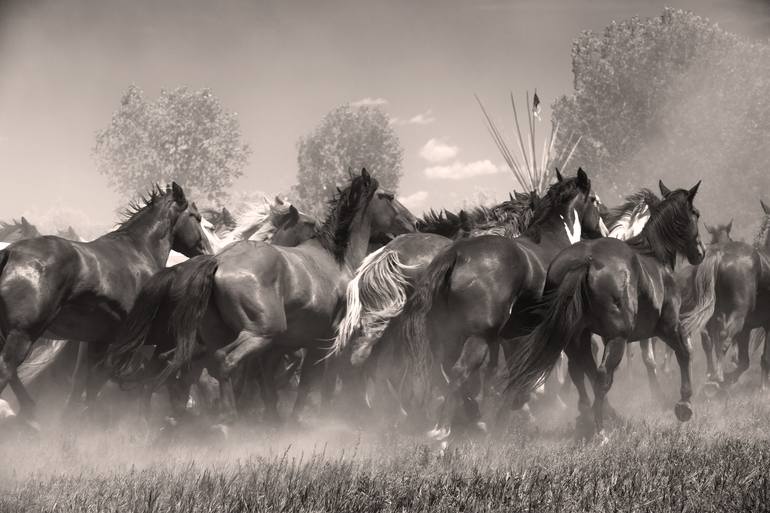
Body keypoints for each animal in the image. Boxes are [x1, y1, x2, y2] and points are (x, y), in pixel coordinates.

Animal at [0, 182, 210, 422]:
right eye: (197, 217)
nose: (206, 250)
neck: (138, 252)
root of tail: (9, 252)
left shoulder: (97, 338)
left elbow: (88, 379)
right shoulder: (130, 339)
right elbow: (104, 377)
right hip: (23, 333)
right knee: (7, 369)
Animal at [106, 168, 414, 424]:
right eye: (388, 196)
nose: (413, 223)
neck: (335, 259)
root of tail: (216, 261)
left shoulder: (279, 349)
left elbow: (270, 385)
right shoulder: (321, 342)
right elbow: (313, 382)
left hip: (221, 337)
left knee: (190, 369)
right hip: (261, 332)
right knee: (221, 362)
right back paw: (224, 419)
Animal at [504, 178, 704, 438]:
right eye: (695, 214)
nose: (701, 252)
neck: (653, 255)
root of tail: (586, 262)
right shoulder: (669, 326)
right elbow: (684, 352)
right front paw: (684, 404)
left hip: (575, 337)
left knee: (581, 372)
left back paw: (590, 417)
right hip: (616, 338)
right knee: (601, 377)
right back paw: (600, 431)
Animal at [680, 200, 770, 388]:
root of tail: (718, 254)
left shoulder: (747, 328)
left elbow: (744, 360)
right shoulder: (765, 324)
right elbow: (763, 359)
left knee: (712, 340)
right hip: (737, 315)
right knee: (723, 337)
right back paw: (717, 377)